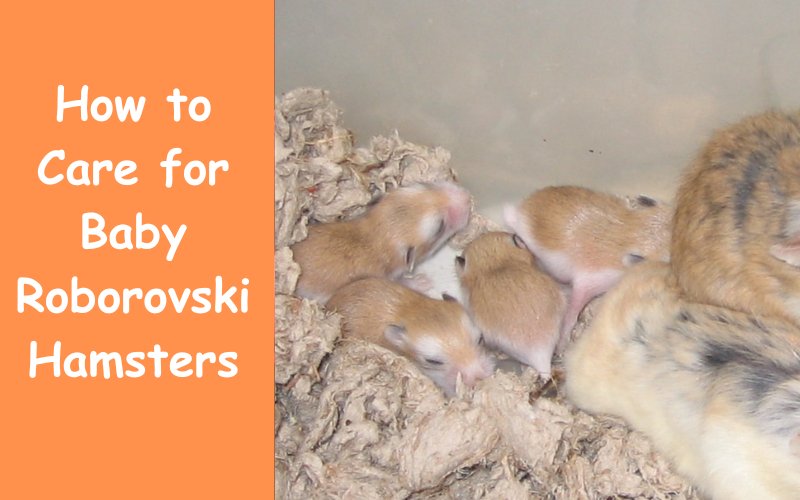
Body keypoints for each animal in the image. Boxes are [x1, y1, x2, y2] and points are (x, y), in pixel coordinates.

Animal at [291, 181, 472, 304]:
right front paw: (423, 281)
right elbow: (403, 281)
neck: (379, 233)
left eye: (424, 185)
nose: (466, 196)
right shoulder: (388, 276)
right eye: (440, 227)